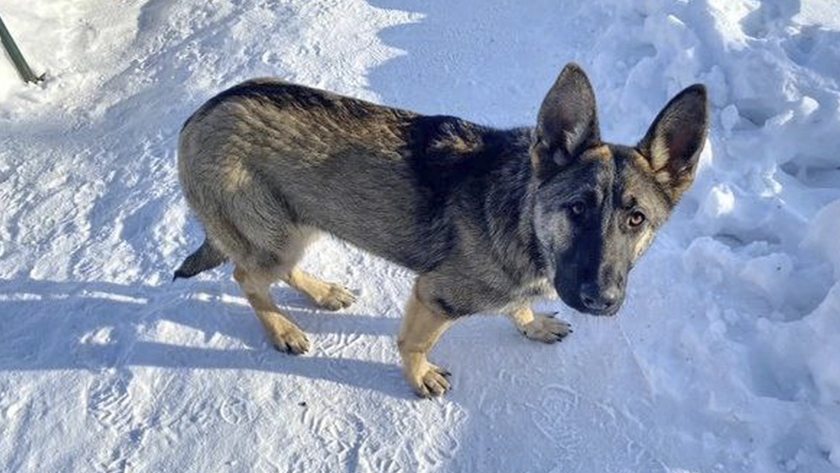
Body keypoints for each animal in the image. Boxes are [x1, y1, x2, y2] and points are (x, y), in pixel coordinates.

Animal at [176, 62, 708, 394]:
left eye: (636, 219)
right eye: (577, 209)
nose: (601, 301)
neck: (524, 218)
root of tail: (196, 117)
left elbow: (516, 306)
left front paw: (532, 324)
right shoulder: (435, 296)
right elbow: (415, 343)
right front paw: (418, 378)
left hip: (298, 224)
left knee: (272, 271)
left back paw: (321, 292)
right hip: (276, 236)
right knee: (246, 277)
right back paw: (283, 329)